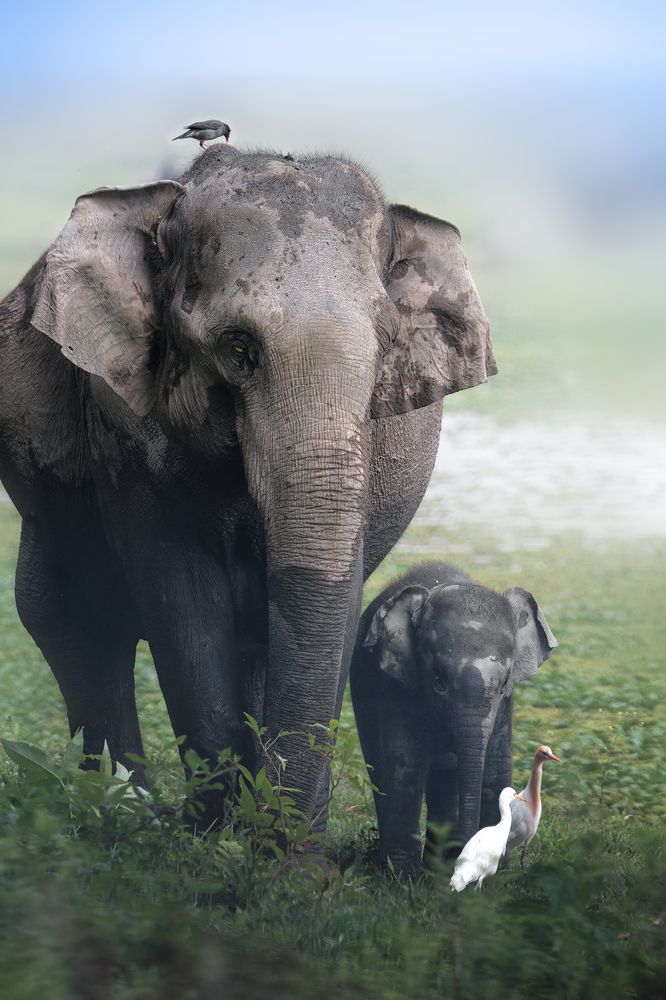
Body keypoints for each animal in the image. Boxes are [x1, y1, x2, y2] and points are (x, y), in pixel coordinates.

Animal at [0, 147, 496, 829]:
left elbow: (334, 598)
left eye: (385, 349)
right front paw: (216, 834)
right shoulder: (122, 425)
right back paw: (125, 810)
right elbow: (180, 598)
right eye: (239, 349)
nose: (283, 833)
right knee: (76, 619)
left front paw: (275, 833)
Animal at [350, 561, 557, 874]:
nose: (467, 850)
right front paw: (402, 877)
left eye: (504, 682)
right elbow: (404, 765)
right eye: (437, 680)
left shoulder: (505, 703)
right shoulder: (397, 685)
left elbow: (494, 765)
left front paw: (495, 871)